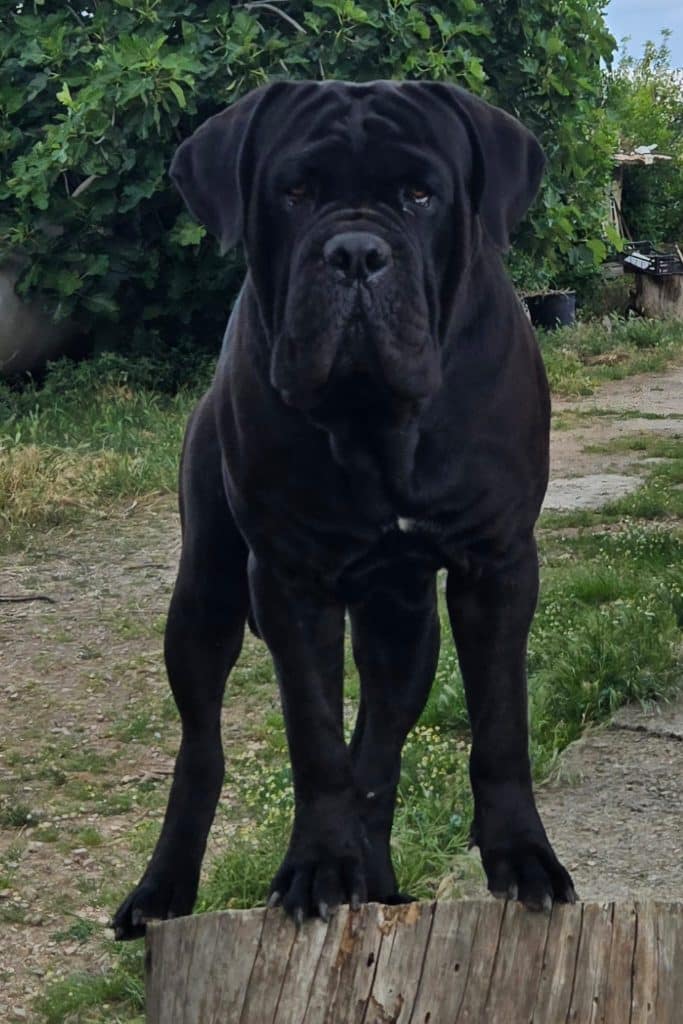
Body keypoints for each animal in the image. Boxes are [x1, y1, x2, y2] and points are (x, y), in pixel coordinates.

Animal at [112, 80, 575, 940]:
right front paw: (320, 866)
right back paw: (161, 892)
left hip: (404, 625)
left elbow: (499, 722)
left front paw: (522, 855)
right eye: (294, 192)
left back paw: (383, 882)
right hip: (205, 595)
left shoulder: (496, 565)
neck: (376, 426)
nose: (356, 252)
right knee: (202, 746)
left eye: (421, 194)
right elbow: (315, 735)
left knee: (381, 749)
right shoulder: (289, 578)